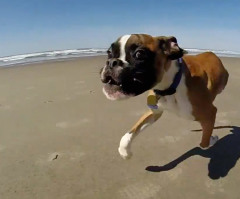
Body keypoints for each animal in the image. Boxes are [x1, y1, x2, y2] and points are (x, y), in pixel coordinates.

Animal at [99, 33, 229, 159]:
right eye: (109, 52)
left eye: (139, 54)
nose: (112, 62)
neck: (170, 86)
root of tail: (210, 53)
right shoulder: (154, 112)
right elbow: (130, 133)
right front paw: (125, 151)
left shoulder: (210, 113)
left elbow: (204, 143)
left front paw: (213, 139)